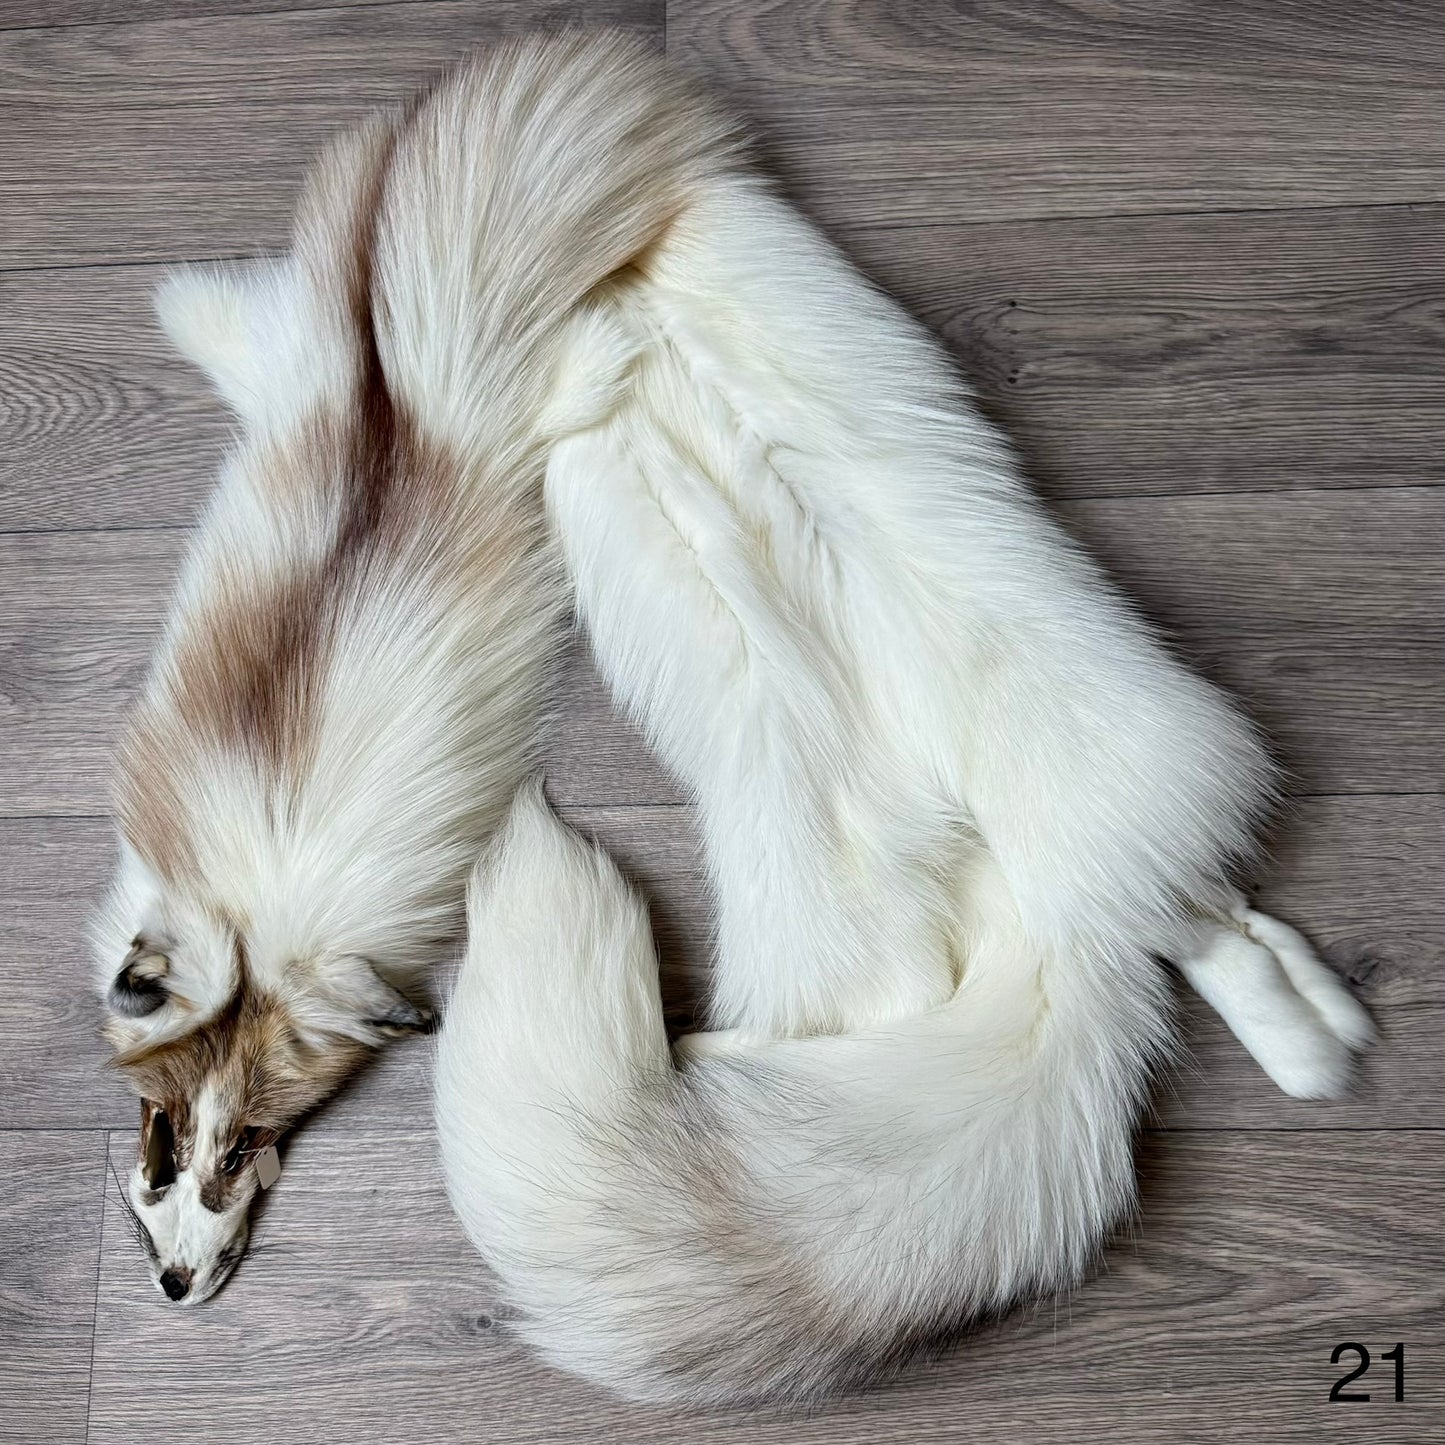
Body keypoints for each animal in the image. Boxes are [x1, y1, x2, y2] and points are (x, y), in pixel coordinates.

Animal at [429, 35, 1377, 1406]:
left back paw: (1314, 1036)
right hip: (917, 862)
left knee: (1188, 913)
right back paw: (1318, 1036)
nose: (608, 285)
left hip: (1061, 776)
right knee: (1198, 921)